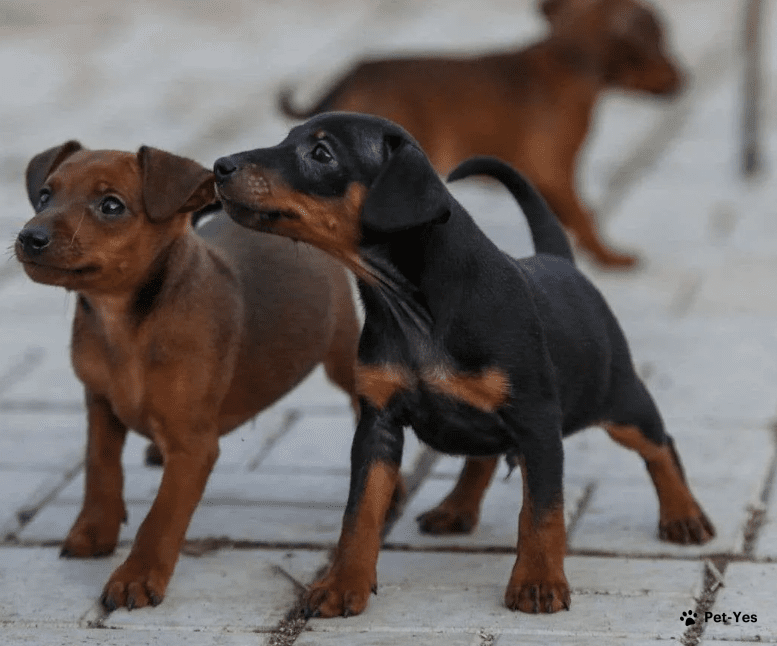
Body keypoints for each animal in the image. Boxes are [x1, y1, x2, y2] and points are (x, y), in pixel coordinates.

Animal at [14, 143, 360, 612]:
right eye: (45, 196)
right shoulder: (99, 404)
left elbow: (162, 514)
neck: (124, 325)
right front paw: (95, 530)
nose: (29, 237)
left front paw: (136, 576)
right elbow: (100, 467)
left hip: (343, 352)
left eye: (111, 206)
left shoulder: (193, 446)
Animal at [209, 114, 712, 620]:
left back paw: (684, 516)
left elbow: (542, 512)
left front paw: (537, 582)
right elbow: (360, 513)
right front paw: (341, 584)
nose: (220, 166)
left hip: (618, 399)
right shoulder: (378, 424)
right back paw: (456, 509)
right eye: (286, 138)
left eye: (321, 154)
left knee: (659, 444)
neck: (410, 308)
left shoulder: (537, 423)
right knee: (483, 457)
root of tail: (559, 259)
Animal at [282, 0, 684, 268]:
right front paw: (609, 256)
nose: (686, 79)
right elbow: (586, 216)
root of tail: (349, 75)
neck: (567, 56)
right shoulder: (555, 171)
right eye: (662, 41)